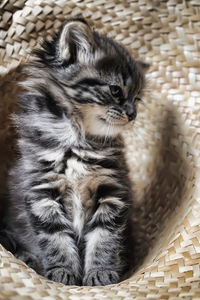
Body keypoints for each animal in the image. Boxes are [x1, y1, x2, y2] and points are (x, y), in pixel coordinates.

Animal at [0, 17, 148, 286]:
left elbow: (104, 239)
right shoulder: (42, 192)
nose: (133, 114)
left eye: (137, 98)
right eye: (115, 90)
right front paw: (63, 273)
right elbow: (56, 239)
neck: (77, 140)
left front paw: (100, 273)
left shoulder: (111, 191)